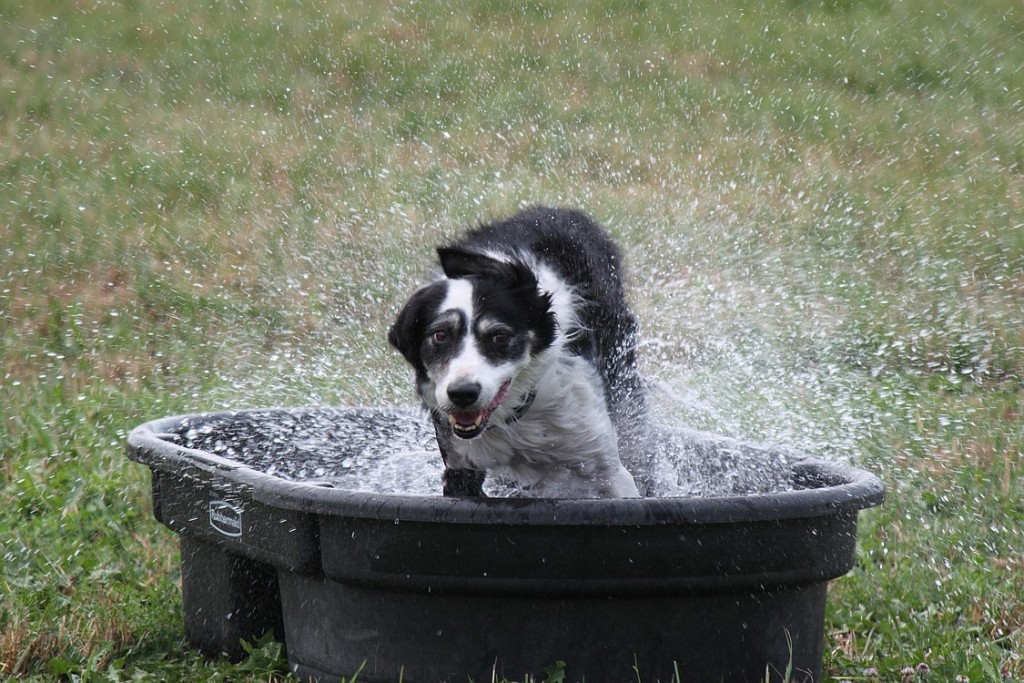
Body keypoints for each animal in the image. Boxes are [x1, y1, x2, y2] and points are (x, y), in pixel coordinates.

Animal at [387, 205, 651, 499]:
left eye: (500, 336)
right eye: (440, 335)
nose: (462, 394)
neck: (515, 413)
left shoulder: (607, 469)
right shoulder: (459, 463)